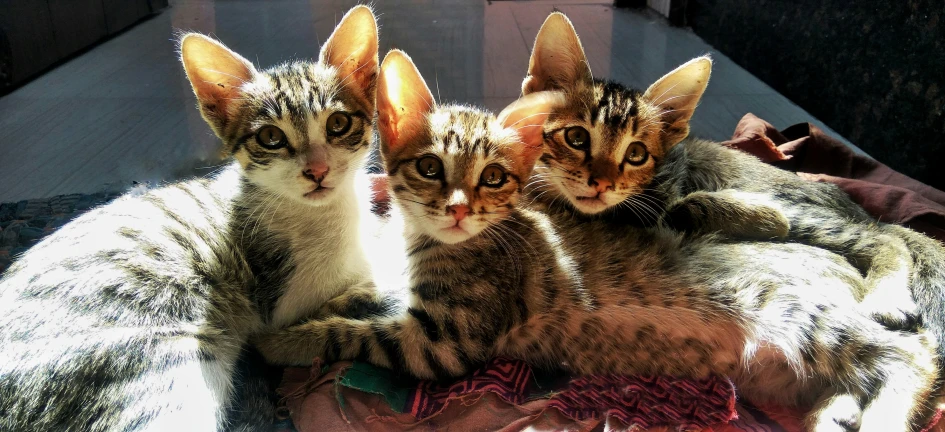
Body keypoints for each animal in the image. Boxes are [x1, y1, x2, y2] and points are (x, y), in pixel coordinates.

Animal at [0, 6, 388, 432]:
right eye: (271, 137)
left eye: (337, 124)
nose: (317, 171)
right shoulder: (283, 301)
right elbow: (368, 279)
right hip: (161, 368)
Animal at [254, 48, 940, 432]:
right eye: (429, 168)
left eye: (492, 178)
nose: (457, 209)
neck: (424, 242)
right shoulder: (407, 297)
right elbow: (362, 299)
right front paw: (315, 309)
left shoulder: (443, 342)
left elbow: (355, 334)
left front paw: (285, 340)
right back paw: (835, 412)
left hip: (802, 313)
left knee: (912, 353)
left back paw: (881, 408)